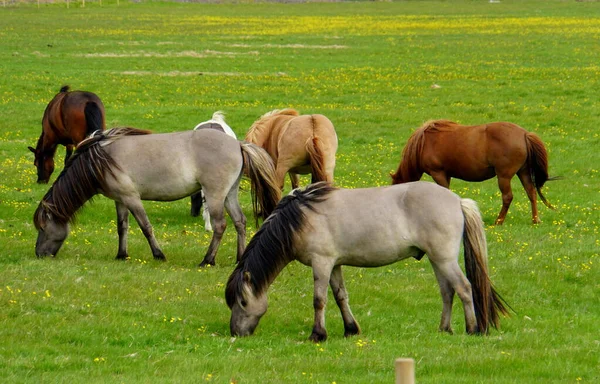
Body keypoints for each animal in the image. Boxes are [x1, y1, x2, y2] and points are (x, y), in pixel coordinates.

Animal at [34, 127, 282, 266]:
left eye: (43, 228)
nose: (39, 255)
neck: (101, 160)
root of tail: (237, 144)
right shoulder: (120, 200)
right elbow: (122, 227)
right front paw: (121, 255)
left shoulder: (132, 198)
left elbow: (145, 227)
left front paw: (158, 255)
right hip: (229, 195)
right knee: (240, 222)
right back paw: (240, 258)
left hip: (214, 196)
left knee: (220, 226)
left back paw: (207, 260)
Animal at [227, 183, 508, 342]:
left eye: (243, 302)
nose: (235, 333)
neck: (299, 218)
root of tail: (458, 201)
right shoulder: (334, 265)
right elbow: (340, 296)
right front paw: (350, 330)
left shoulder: (322, 263)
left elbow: (320, 300)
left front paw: (318, 335)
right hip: (437, 261)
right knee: (447, 292)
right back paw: (444, 329)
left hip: (445, 259)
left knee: (464, 288)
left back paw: (473, 329)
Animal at [392, 118, 556, 224]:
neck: (424, 142)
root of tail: (524, 134)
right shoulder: (446, 174)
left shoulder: (438, 173)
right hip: (523, 172)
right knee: (531, 192)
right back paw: (535, 220)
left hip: (504, 176)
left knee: (507, 197)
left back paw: (499, 220)